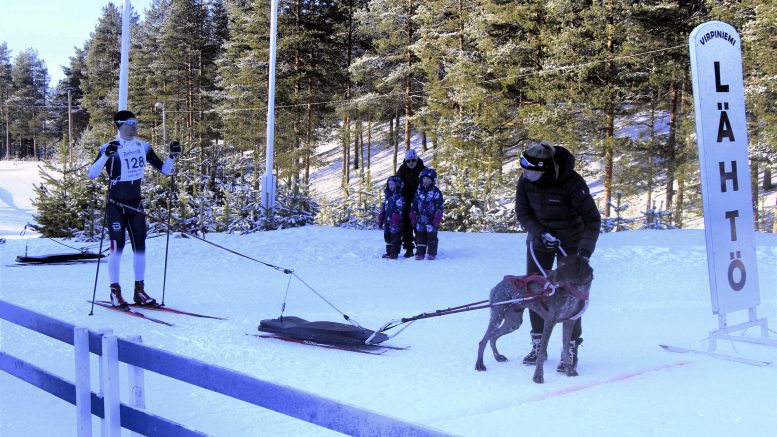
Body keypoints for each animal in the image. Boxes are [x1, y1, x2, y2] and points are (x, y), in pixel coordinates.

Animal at [472, 254, 596, 384]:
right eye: (558, 265)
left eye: (564, 266)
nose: (548, 278)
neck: (575, 291)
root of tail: (499, 284)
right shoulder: (549, 322)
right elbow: (541, 353)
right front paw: (538, 376)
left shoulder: (569, 322)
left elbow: (566, 350)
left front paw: (569, 371)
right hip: (497, 316)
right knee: (483, 341)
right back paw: (480, 364)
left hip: (513, 322)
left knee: (493, 337)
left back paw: (497, 356)